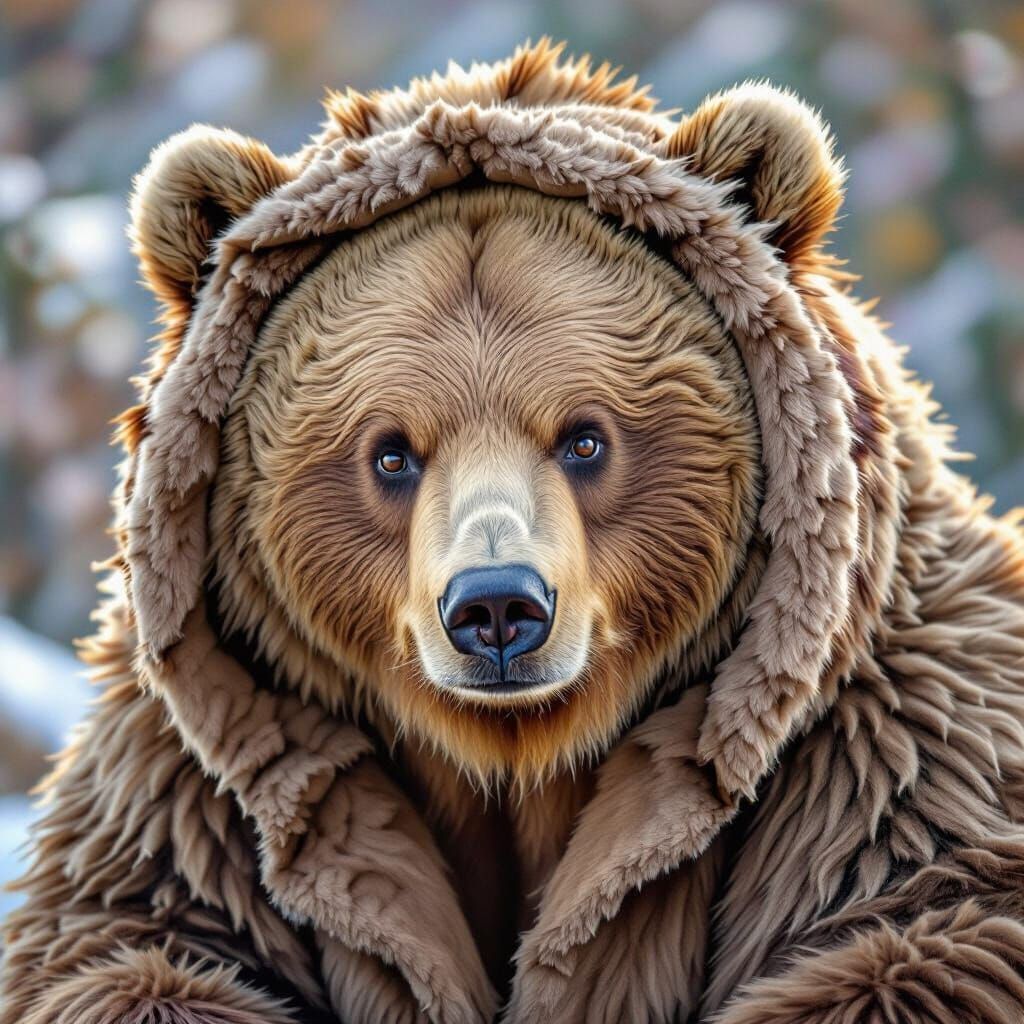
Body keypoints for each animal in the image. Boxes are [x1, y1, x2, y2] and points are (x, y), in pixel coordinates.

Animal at [4, 38, 1024, 1024]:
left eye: (585, 436)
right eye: (392, 452)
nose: (497, 607)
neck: (517, 754)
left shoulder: (890, 738)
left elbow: (905, 934)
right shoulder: (177, 788)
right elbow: (138, 948)